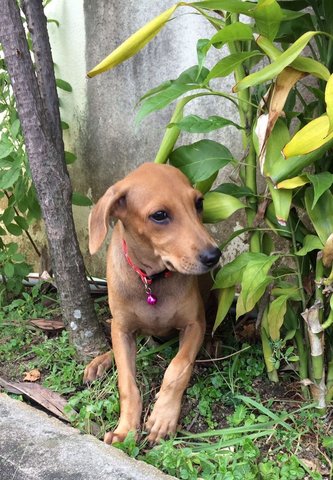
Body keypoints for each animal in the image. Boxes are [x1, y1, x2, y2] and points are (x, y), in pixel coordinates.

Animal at [83, 164, 220, 442]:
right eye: (159, 215)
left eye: (199, 203)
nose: (214, 255)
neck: (152, 279)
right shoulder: (123, 329)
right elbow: (127, 382)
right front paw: (125, 429)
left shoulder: (194, 325)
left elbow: (177, 368)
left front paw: (162, 418)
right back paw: (100, 361)